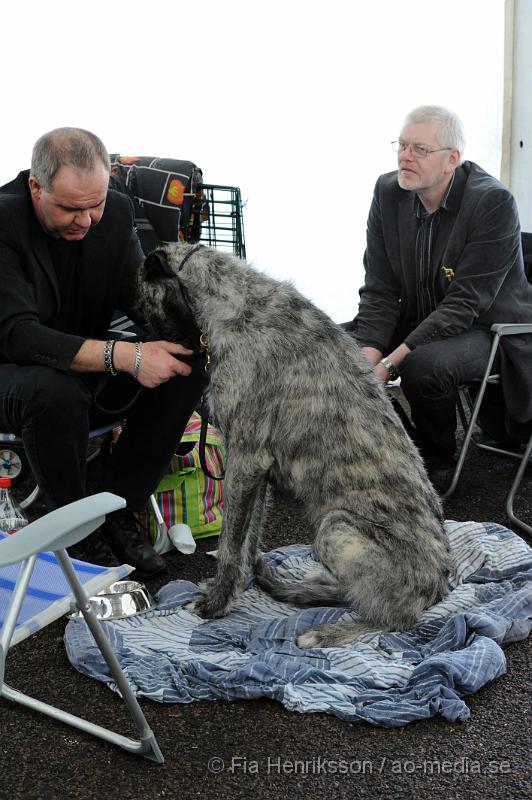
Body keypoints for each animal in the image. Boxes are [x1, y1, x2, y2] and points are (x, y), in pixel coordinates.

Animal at [136, 241, 448, 648]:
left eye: (143, 302)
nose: (157, 363)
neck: (234, 301)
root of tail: (441, 584)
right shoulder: (258, 471)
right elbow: (248, 540)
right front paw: (240, 586)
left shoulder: (245, 459)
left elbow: (231, 545)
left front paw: (216, 604)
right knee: (354, 593)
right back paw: (298, 589)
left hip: (336, 529)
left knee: (396, 617)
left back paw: (325, 632)